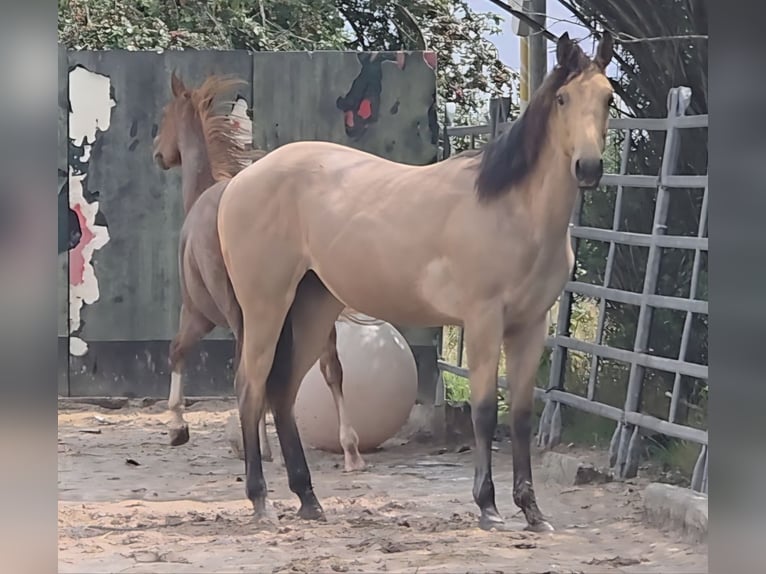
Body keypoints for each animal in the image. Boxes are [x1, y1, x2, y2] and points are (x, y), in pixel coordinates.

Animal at [152, 72, 366, 472]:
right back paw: (350, 451)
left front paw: (177, 427)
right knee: (330, 368)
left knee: (253, 371)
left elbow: (176, 352)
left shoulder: (197, 312)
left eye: (163, 115)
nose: (158, 152)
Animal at [216, 32, 614, 531]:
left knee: (282, 392)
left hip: (312, 308)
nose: (589, 168)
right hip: (265, 305)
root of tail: (242, 181)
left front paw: (532, 511)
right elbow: (486, 413)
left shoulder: (530, 326)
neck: (513, 210)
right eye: (563, 99)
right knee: (250, 389)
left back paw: (308, 500)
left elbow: (521, 415)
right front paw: (488, 507)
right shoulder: (483, 321)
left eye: (608, 97)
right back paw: (261, 501)